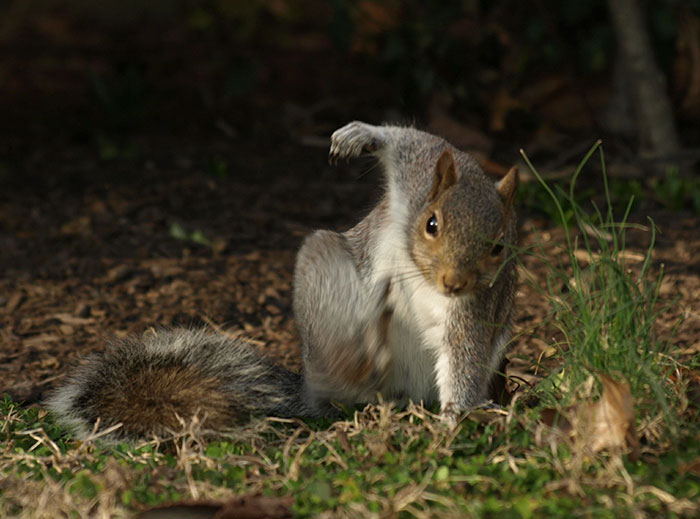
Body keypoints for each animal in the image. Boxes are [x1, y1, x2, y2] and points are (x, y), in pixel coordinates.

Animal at [46, 122, 516, 442]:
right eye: (431, 224)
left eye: (499, 246)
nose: (454, 282)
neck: (422, 273)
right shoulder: (417, 178)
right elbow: (411, 141)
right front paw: (360, 136)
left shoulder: (475, 308)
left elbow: (465, 357)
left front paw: (456, 419)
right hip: (321, 270)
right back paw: (358, 356)